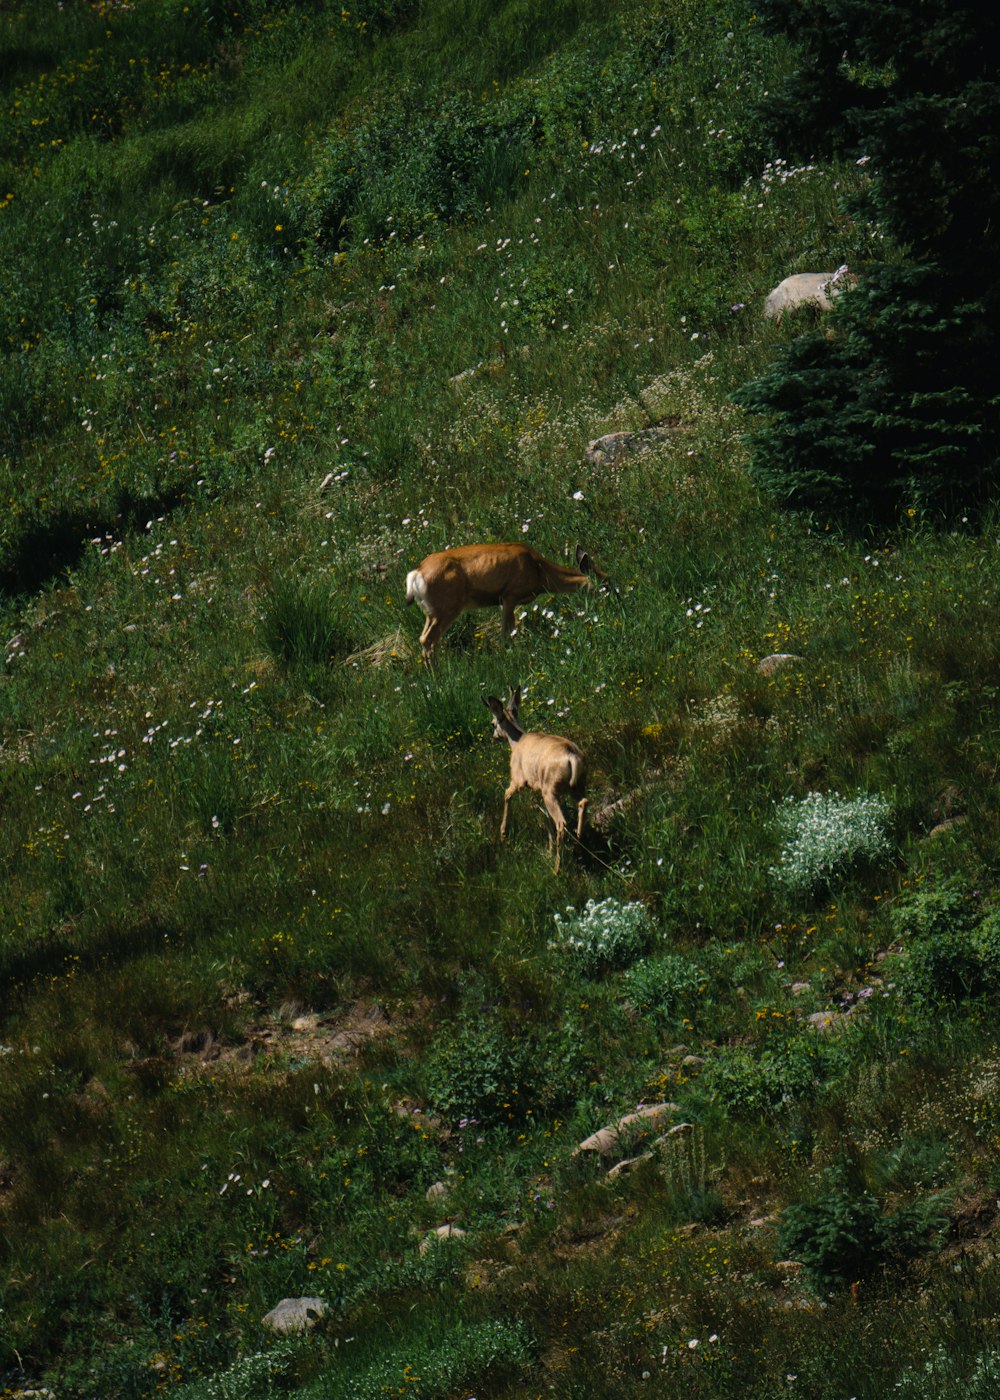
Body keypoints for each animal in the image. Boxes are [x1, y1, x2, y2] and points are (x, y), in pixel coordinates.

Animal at [400, 540, 605, 660]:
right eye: (606, 584)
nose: (607, 606)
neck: (539, 571)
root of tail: (416, 574)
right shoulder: (510, 595)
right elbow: (507, 634)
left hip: (431, 611)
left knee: (423, 638)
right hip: (448, 606)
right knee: (428, 639)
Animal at [481, 688, 585, 873]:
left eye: (492, 723)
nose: (494, 737)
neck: (516, 742)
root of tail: (572, 756)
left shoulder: (518, 779)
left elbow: (506, 795)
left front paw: (503, 834)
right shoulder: (537, 787)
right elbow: (544, 816)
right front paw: (548, 850)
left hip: (551, 789)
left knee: (561, 823)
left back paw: (557, 869)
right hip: (575, 785)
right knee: (583, 803)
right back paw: (578, 849)